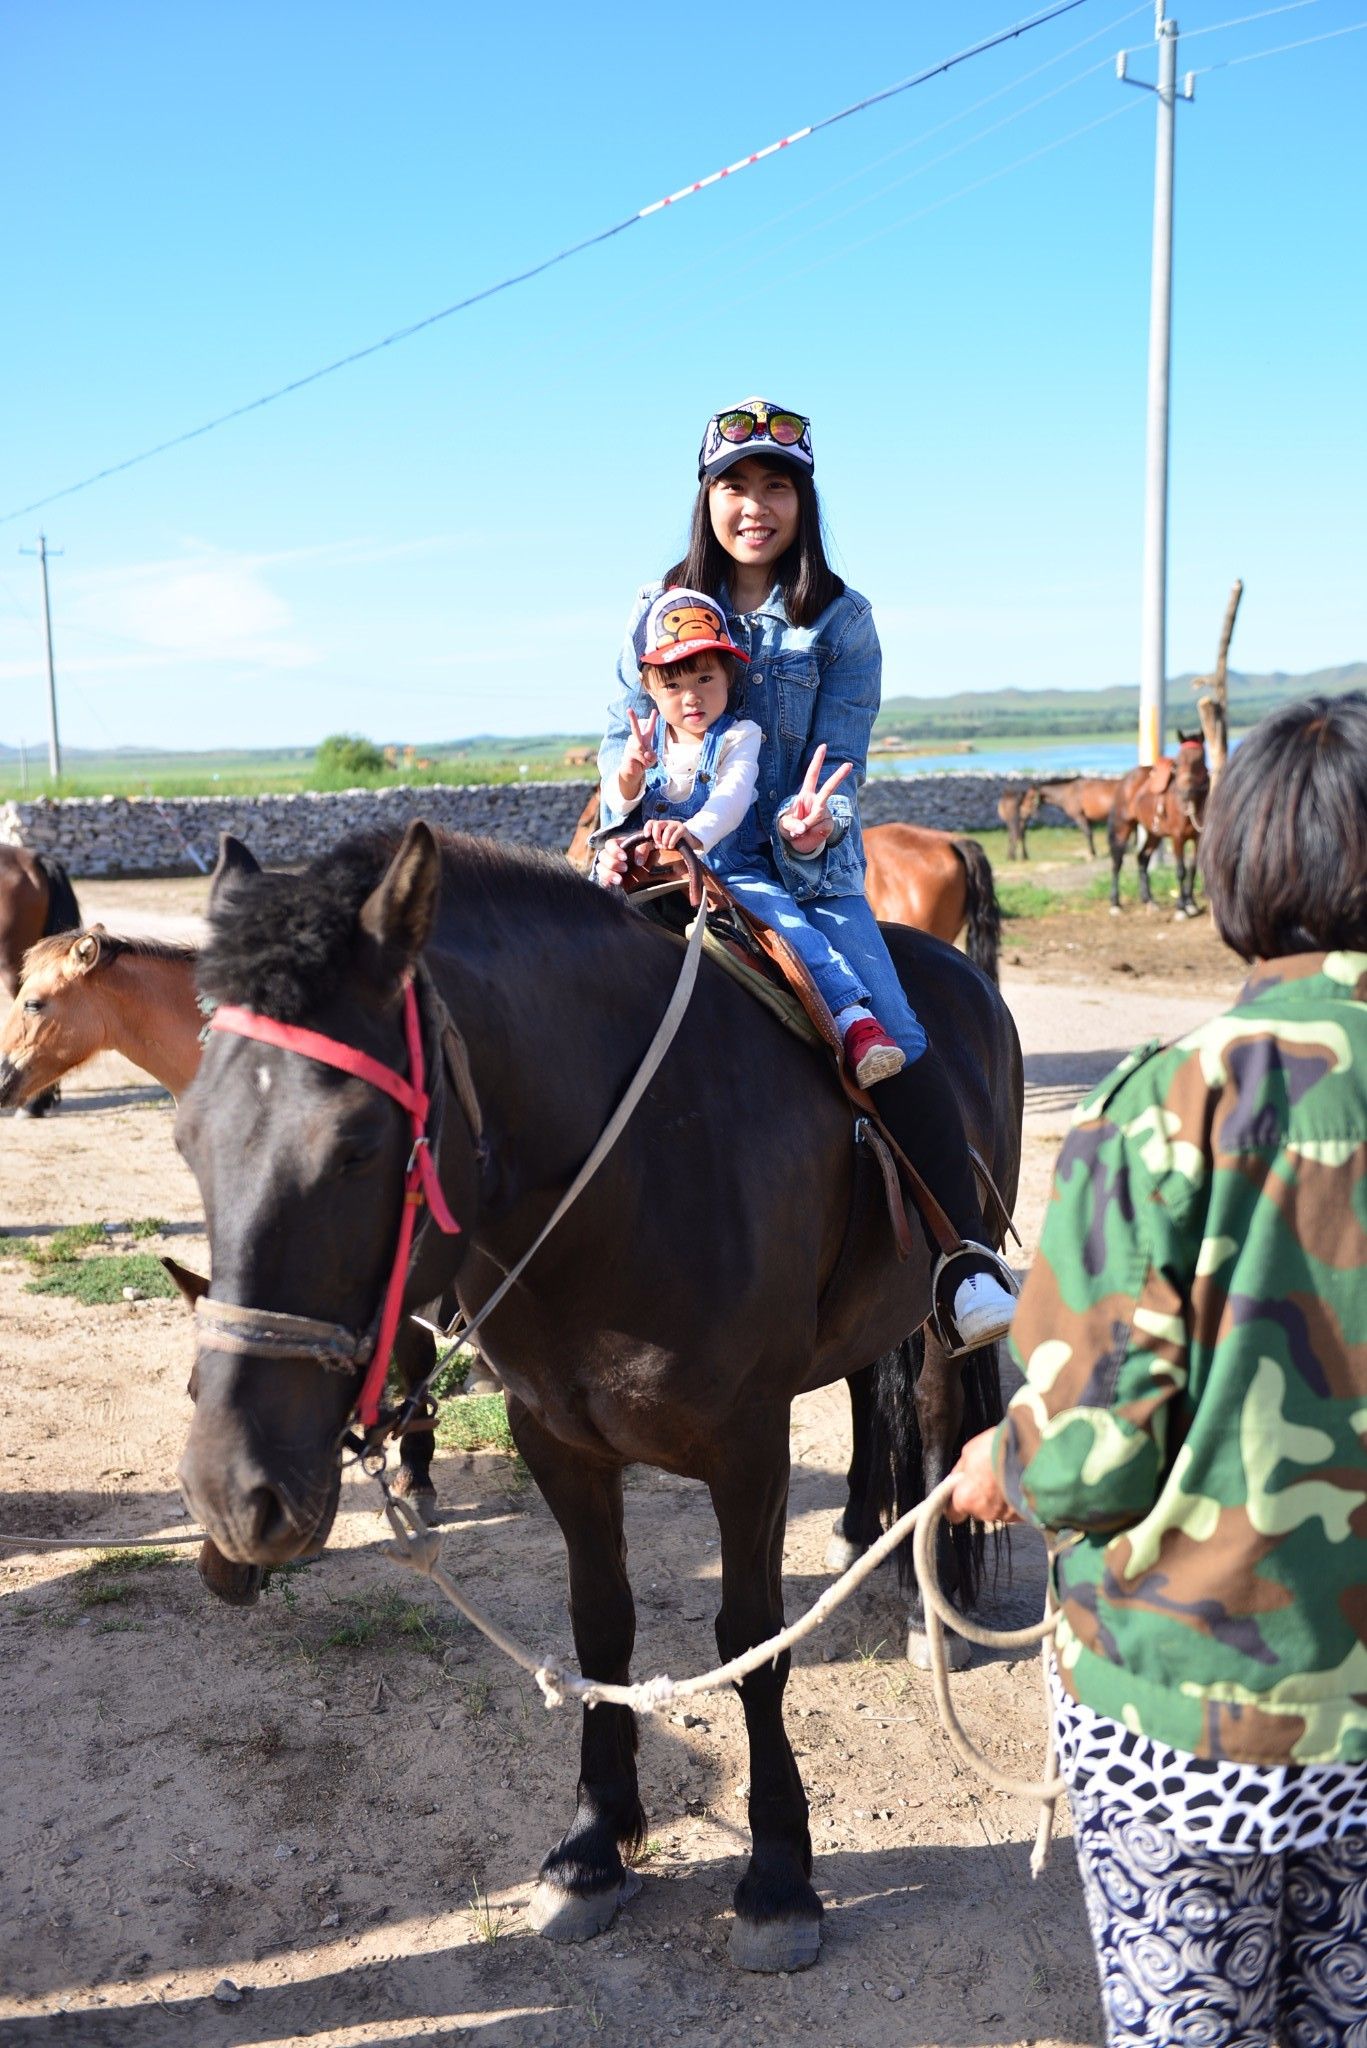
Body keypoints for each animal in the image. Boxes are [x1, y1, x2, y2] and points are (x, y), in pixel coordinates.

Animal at [1114, 733, 1205, 917]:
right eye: (1178, 762)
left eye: (1200, 759)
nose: (1186, 793)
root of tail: (1125, 779)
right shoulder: (1177, 837)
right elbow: (1181, 870)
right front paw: (1181, 908)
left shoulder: (1198, 838)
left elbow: (1192, 869)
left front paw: (1191, 904)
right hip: (1123, 827)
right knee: (1118, 862)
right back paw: (1115, 903)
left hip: (1154, 833)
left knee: (1142, 858)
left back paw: (1149, 900)